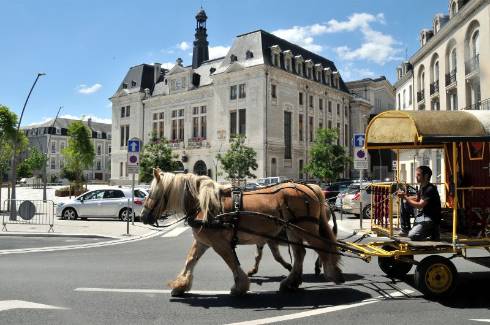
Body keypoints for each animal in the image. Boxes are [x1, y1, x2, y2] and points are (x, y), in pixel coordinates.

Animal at [140, 170, 342, 296]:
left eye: (152, 192)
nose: (142, 216)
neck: (204, 204)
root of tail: (311, 187)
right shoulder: (203, 241)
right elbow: (190, 260)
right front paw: (181, 285)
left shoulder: (220, 244)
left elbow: (232, 262)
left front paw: (240, 286)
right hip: (293, 230)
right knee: (300, 253)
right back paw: (290, 282)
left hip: (306, 229)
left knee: (322, 247)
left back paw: (332, 273)